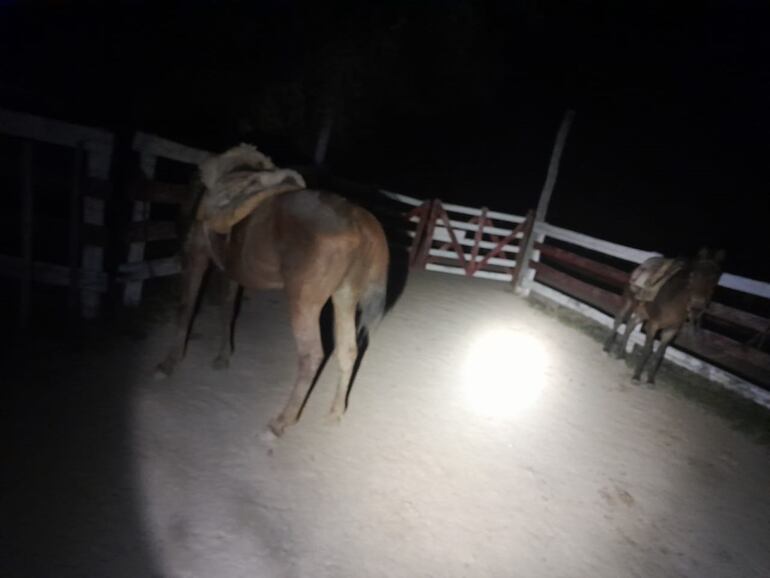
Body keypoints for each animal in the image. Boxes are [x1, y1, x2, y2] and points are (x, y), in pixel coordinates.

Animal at [156, 147, 390, 437]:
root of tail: (361, 222)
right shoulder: (231, 270)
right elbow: (227, 309)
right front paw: (223, 357)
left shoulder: (197, 254)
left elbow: (186, 307)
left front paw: (169, 364)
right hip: (344, 296)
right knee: (347, 350)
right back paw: (335, 413)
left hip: (305, 303)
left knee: (312, 356)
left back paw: (281, 422)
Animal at [603, 248, 725, 384]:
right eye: (692, 275)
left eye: (715, 279)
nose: (696, 307)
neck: (674, 302)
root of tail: (640, 267)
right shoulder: (653, 325)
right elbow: (648, 350)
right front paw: (637, 376)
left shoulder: (671, 331)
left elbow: (659, 354)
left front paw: (650, 379)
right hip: (629, 303)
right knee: (618, 321)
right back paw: (607, 348)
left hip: (642, 312)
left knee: (630, 325)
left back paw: (620, 354)